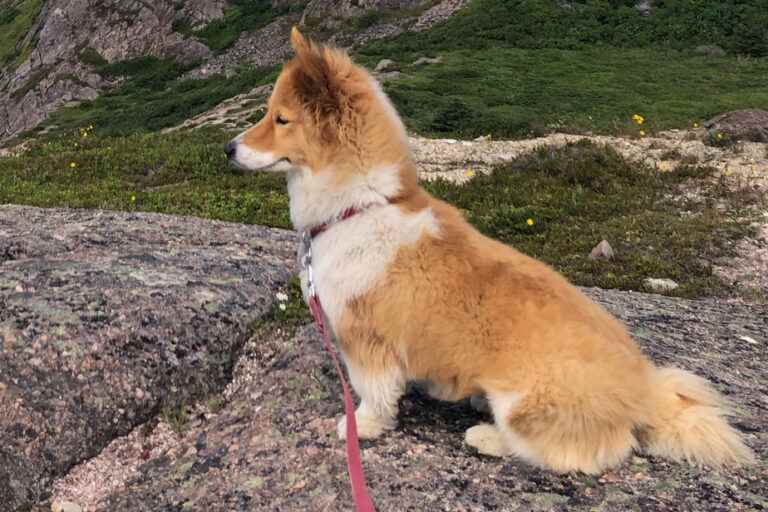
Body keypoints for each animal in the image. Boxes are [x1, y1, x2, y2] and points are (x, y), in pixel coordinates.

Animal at [228, 28, 756, 474]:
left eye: (280, 118)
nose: (228, 149)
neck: (359, 206)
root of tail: (644, 392)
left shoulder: (367, 340)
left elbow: (373, 394)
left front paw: (363, 426)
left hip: (526, 402)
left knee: (584, 452)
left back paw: (487, 436)